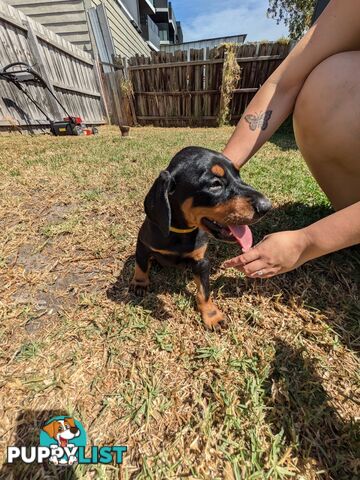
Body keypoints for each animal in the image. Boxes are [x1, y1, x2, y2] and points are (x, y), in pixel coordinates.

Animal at [130, 145, 270, 326]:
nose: (267, 206)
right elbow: (140, 264)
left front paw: (212, 315)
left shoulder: (201, 261)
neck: (181, 232)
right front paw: (139, 283)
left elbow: (204, 291)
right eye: (215, 184)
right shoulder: (143, 244)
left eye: (239, 175)